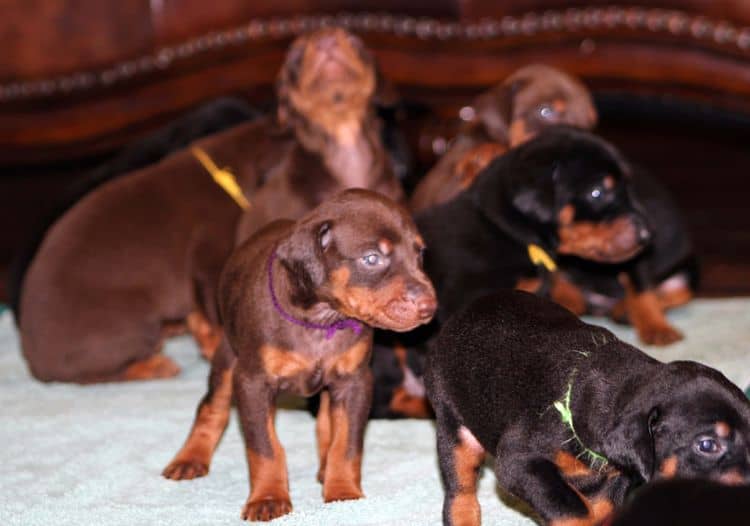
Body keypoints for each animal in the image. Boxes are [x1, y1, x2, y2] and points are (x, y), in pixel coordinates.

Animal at [19, 28, 406, 384]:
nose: (325, 38)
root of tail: (34, 361)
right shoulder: (214, 257)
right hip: (129, 326)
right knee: (100, 373)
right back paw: (154, 364)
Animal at [162, 191, 438, 524]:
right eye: (372, 258)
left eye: (419, 254)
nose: (429, 307)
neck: (319, 321)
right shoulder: (252, 383)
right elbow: (265, 447)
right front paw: (268, 497)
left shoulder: (355, 381)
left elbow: (346, 443)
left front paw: (343, 491)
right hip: (228, 357)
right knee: (212, 407)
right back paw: (190, 458)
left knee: (325, 421)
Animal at [426, 290, 750, 526]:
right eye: (707, 445)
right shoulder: (520, 461)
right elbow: (573, 509)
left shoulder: (617, 475)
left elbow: (603, 506)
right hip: (453, 423)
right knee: (460, 488)